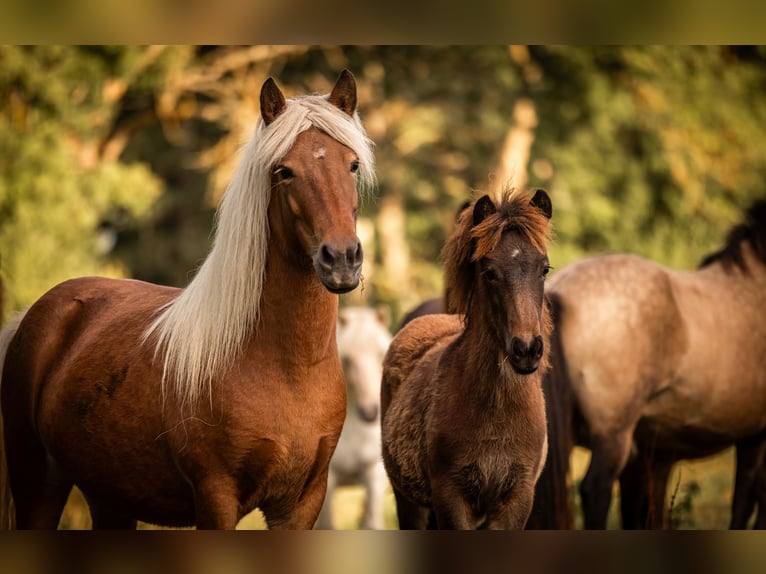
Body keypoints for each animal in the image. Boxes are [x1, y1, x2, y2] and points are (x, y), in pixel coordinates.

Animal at [0, 68, 376, 532]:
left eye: (352, 164)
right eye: (284, 170)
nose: (341, 259)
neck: (285, 367)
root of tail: (35, 314)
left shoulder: (302, 505)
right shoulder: (216, 499)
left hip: (111, 501)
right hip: (37, 486)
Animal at [382, 190, 552, 532]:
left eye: (544, 268)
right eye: (489, 272)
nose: (526, 349)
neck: (497, 412)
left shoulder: (517, 500)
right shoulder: (451, 498)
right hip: (409, 502)